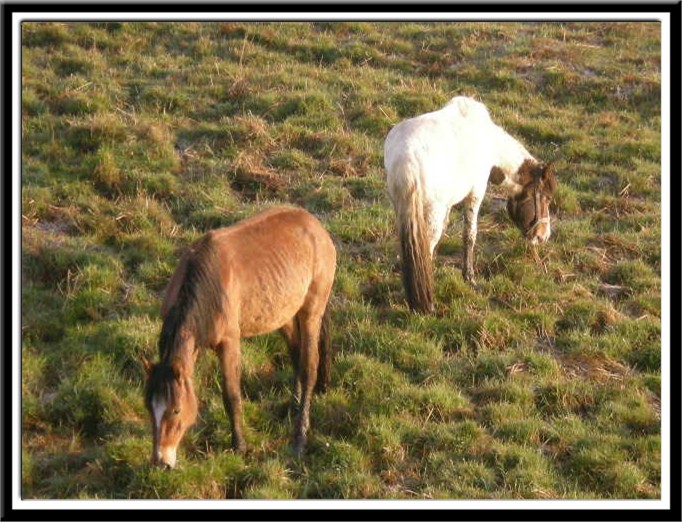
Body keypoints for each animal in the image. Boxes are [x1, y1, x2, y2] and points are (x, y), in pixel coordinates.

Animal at [142, 207, 336, 468]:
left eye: (176, 410)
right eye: (149, 407)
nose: (161, 461)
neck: (206, 284)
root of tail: (315, 225)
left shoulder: (229, 343)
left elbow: (231, 395)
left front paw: (239, 446)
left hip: (311, 313)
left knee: (308, 368)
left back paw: (299, 439)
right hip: (283, 315)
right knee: (296, 354)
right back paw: (292, 405)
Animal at [386, 96, 556, 314]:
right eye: (547, 198)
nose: (543, 235)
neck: (488, 141)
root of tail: (406, 157)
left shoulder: (447, 205)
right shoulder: (475, 195)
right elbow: (469, 236)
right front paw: (469, 278)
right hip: (432, 210)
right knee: (426, 247)